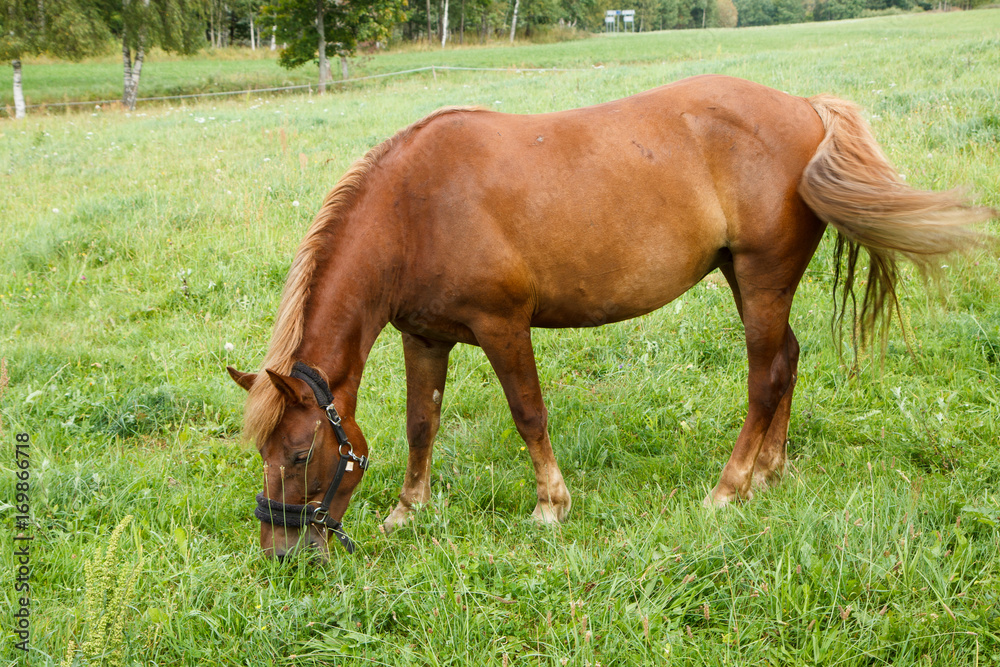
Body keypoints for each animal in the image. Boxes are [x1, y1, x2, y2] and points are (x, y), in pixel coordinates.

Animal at [227, 74, 994, 560]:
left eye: (299, 455)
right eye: (266, 454)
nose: (281, 551)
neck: (416, 206)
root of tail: (805, 107)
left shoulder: (503, 326)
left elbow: (528, 413)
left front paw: (551, 505)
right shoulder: (425, 338)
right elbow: (422, 424)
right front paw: (408, 509)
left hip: (762, 278)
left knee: (766, 376)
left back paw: (729, 488)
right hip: (746, 278)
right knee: (789, 359)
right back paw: (770, 471)